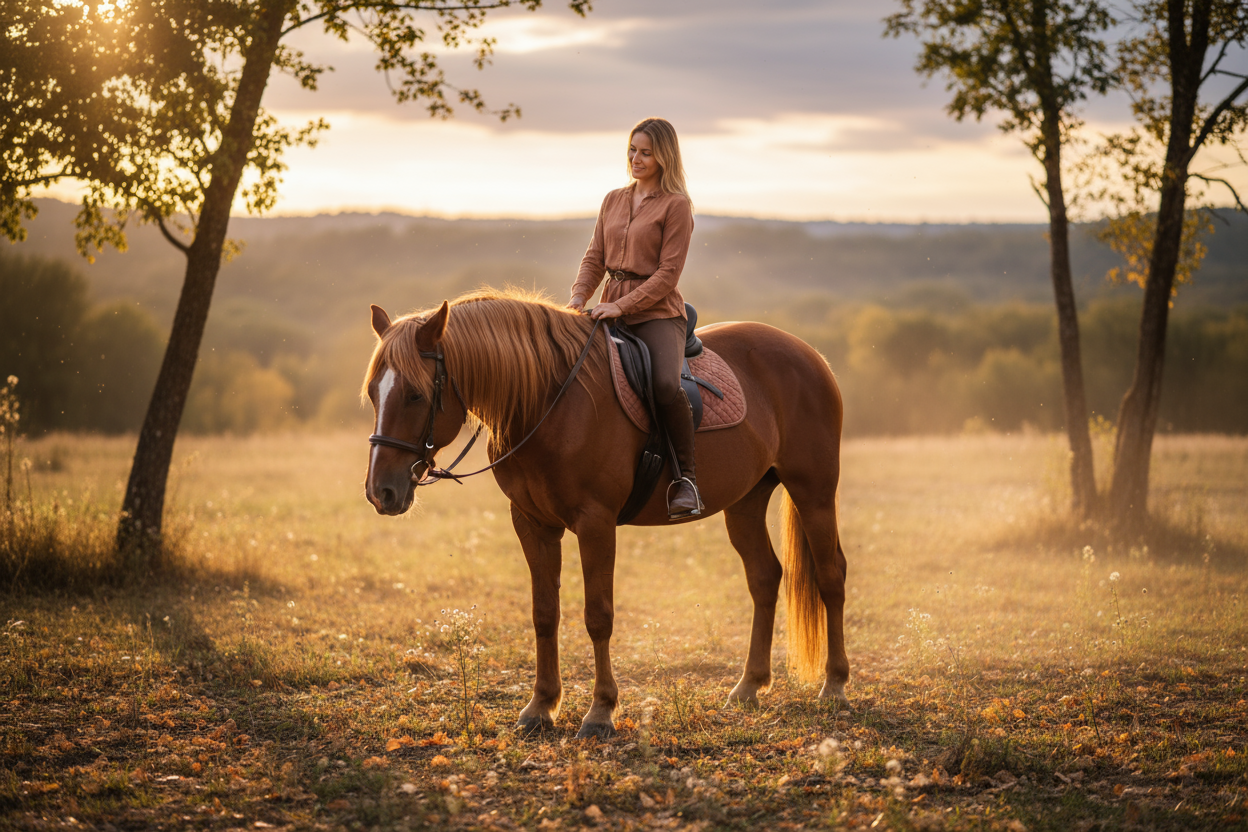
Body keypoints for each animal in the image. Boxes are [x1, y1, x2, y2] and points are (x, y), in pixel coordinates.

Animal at [362, 288, 848, 739]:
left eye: (414, 395)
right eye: (372, 393)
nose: (381, 491)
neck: (547, 401)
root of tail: (809, 354)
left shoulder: (595, 523)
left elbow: (598, 616)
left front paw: (600, 713)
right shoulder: (532, 524)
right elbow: (544, 614)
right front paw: (540, 707)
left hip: (814, 492)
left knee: (831, 576)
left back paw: (835, 686)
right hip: (745, 503)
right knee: (764, 577)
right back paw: (749, 686)